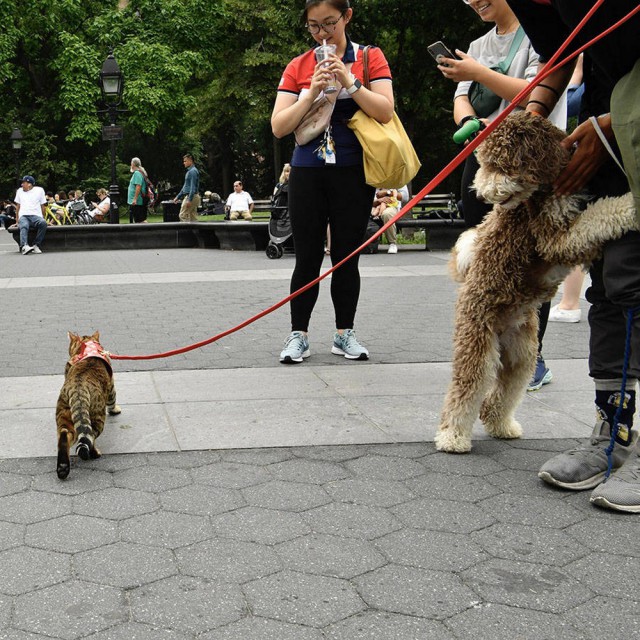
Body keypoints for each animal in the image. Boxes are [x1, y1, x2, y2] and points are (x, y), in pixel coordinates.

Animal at [56, 332, 121, 478]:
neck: (88, 346)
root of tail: (78, 389)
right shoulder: (111, 386)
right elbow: (113, 399)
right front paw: (115, 409)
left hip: (64, 414)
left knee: (64, 435)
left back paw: (63, 468)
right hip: (97, 416)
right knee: (90, 436)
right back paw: (94, 454)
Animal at [436, 112, 636, 452]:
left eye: (500, 165)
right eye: (484, 163)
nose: (480, 193)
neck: (548, 187)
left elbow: (595, 216)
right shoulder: (555, 241)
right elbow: (600, 215)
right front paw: (632, 205)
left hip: (523, 355)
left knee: (502, 393)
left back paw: (502, 425)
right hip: (478, 344)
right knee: (467, 389)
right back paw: (452, 437)